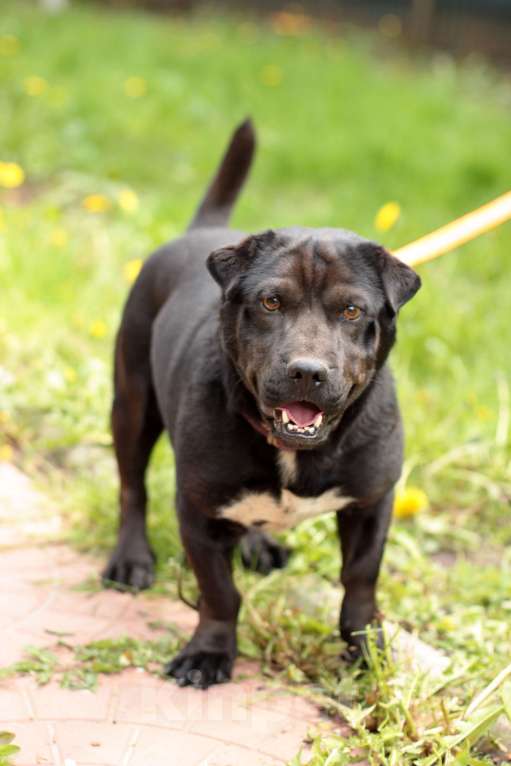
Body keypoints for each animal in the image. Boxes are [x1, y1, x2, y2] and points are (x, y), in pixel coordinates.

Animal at [103, 118, 420, 688]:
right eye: (271, 302)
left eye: (351, 310)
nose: (307, 371)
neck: (295, 449)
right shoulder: (197, 512)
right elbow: (219, 593)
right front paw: (209, 652)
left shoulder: (372, 501)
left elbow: (360, 583)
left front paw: (367, 651)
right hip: (132, 403)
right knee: (131, 487)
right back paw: (131, 558)